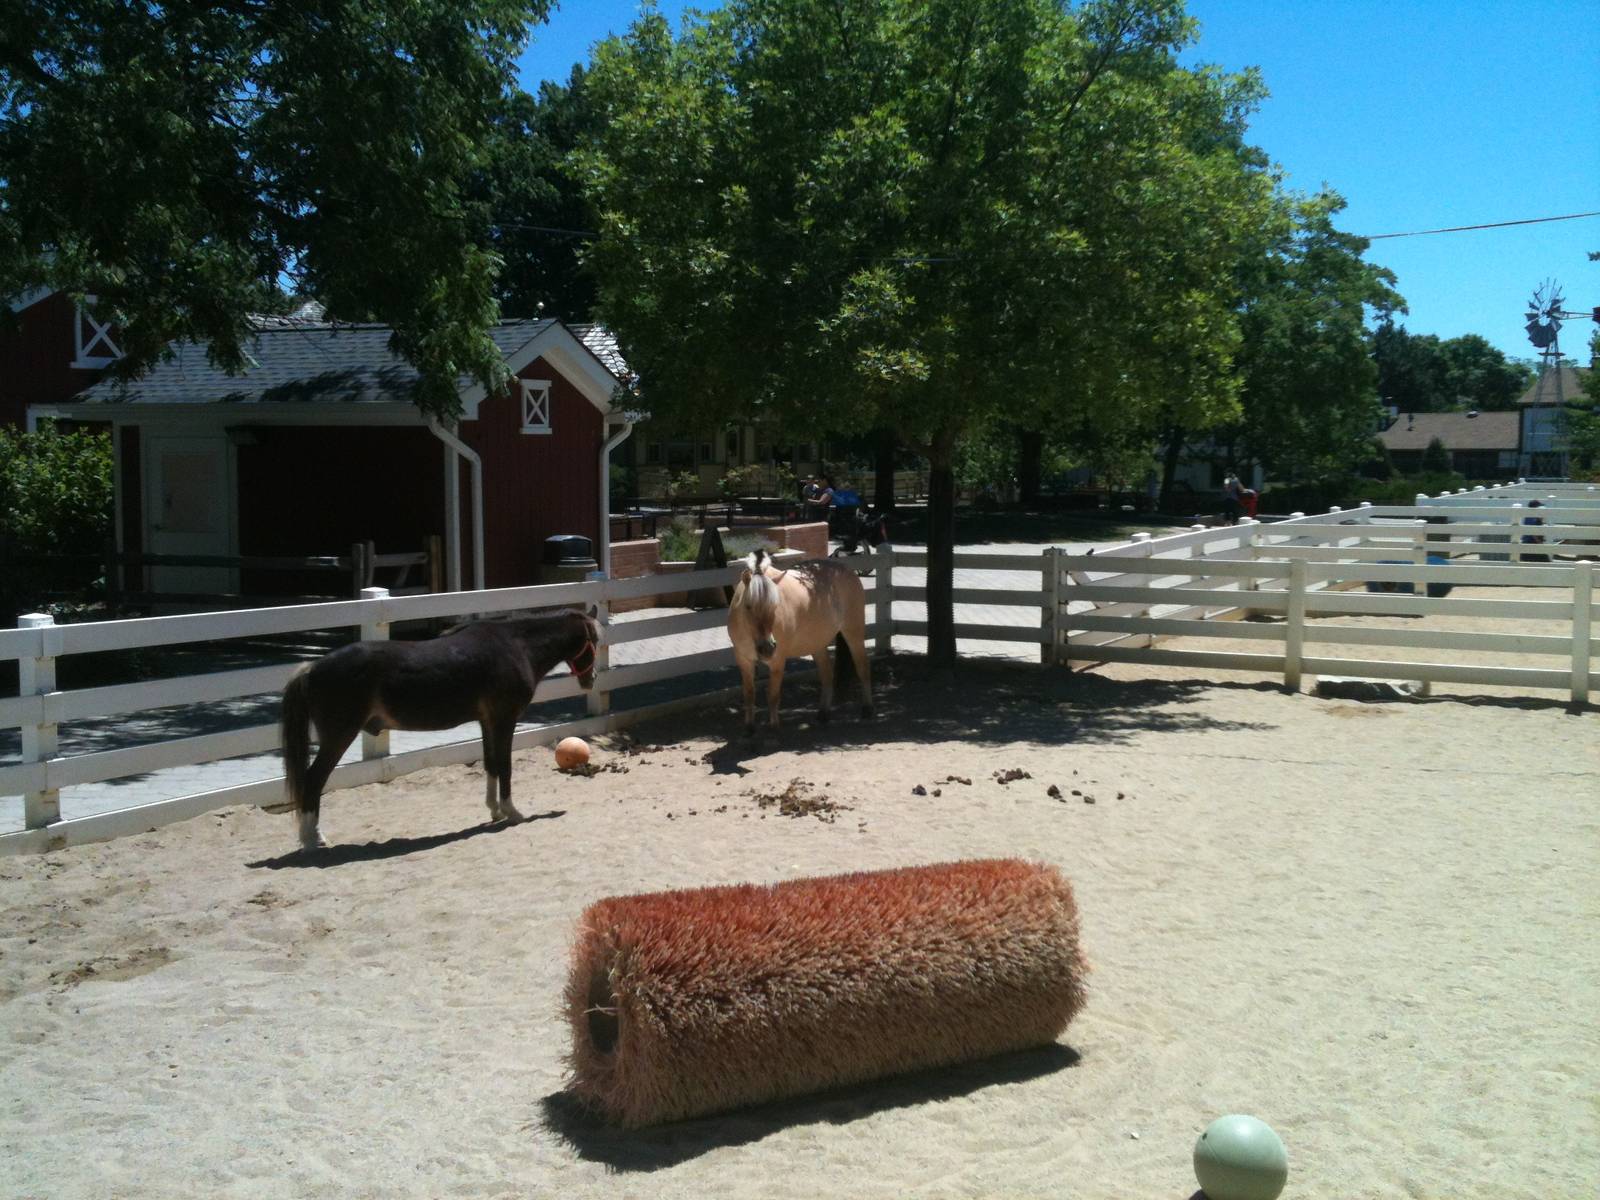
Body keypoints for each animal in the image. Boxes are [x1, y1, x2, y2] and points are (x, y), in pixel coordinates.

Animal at [277, 608, 600, 851]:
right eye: (594, 639)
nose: (592, 679)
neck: (515, 647)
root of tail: (312, 668)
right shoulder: (504, 720)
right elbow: (505, 767)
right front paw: (512, 812)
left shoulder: (487, 722)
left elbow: (491, 765)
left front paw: (494, 809)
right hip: (338, 737)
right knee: (314, 780)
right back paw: (313, 840)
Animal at [727, 550, 872, 734]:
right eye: (748, 606)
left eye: (775, 606)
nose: (767, 648)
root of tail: (846, 569)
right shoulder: (744, 661)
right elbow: (749, 695)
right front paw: (749, 729)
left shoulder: (777, 661)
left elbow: (772, 695)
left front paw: (774, 728)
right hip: (817, 644)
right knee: (827, 674)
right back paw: (823, 713)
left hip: (854, 634)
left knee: (863, 668)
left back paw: (867, 709)